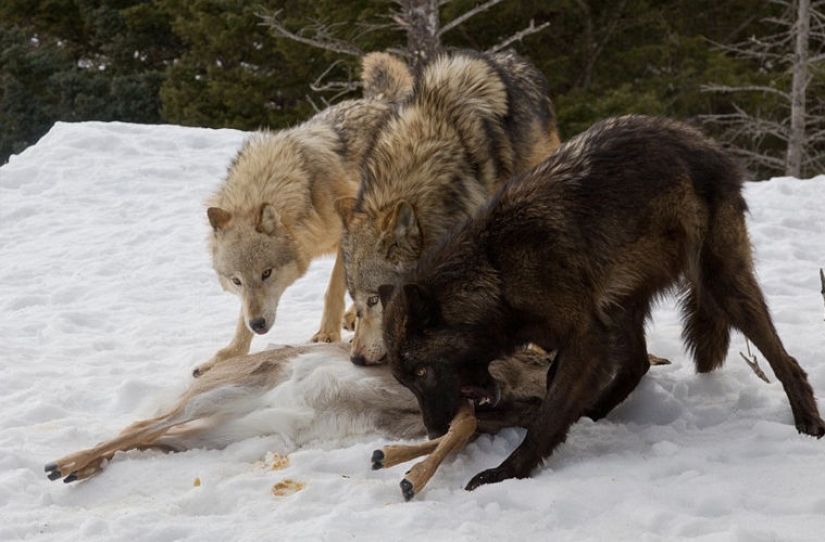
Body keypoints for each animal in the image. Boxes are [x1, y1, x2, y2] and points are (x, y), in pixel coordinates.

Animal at [197, 52, 413, 377]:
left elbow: (333, 290)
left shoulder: (346, 236)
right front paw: (225, 357)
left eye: (267, 273)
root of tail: (379, 100)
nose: (258, 324)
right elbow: (240, 321)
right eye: (236, 281)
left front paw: (326, 334)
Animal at [380, 115, 825, 491]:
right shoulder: (584, 330)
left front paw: (506, 471)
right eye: (406, 380)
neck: (496, 268)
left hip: (721, 285)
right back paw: (592, 411)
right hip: (623, 305)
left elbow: (548, 415)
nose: (435, 431)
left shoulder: (587, 336)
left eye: (421, 372)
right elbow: (550, 392)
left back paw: (809, 423)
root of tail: (708, 144)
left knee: (786, 362)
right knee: (638, 363)